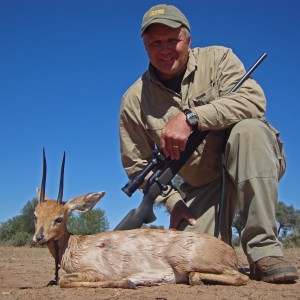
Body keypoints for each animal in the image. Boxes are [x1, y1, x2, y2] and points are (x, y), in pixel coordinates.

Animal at [33, 150, 248, 288]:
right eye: (35, 215)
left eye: (59, 218)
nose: (38, 237)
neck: (75, 245)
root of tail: (229, 251)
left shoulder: (97, 271)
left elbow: (64, 280)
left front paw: (128, 282)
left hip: (189, 263)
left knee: (240, 277)